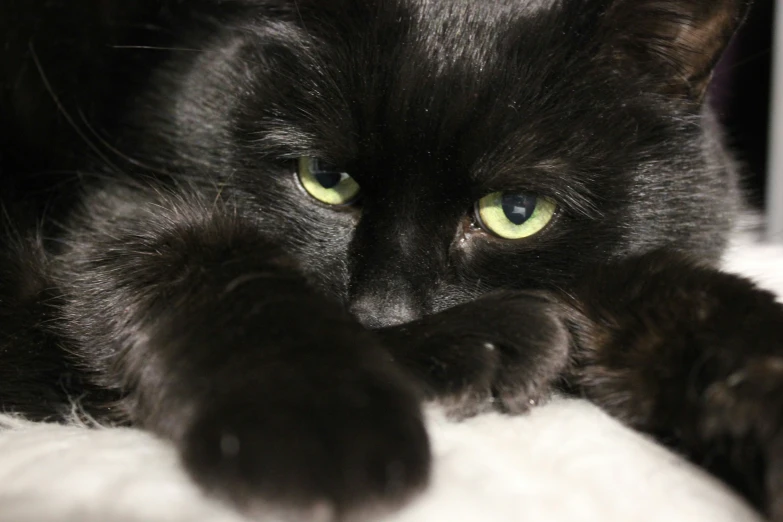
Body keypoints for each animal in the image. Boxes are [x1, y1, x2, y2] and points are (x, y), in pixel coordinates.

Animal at [1, 0, 783, 516]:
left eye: (517, 212)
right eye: (324, 176)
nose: (382, 310)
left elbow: (684, 301)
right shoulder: (128, 208)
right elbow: (214, 265)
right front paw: (321, 428)